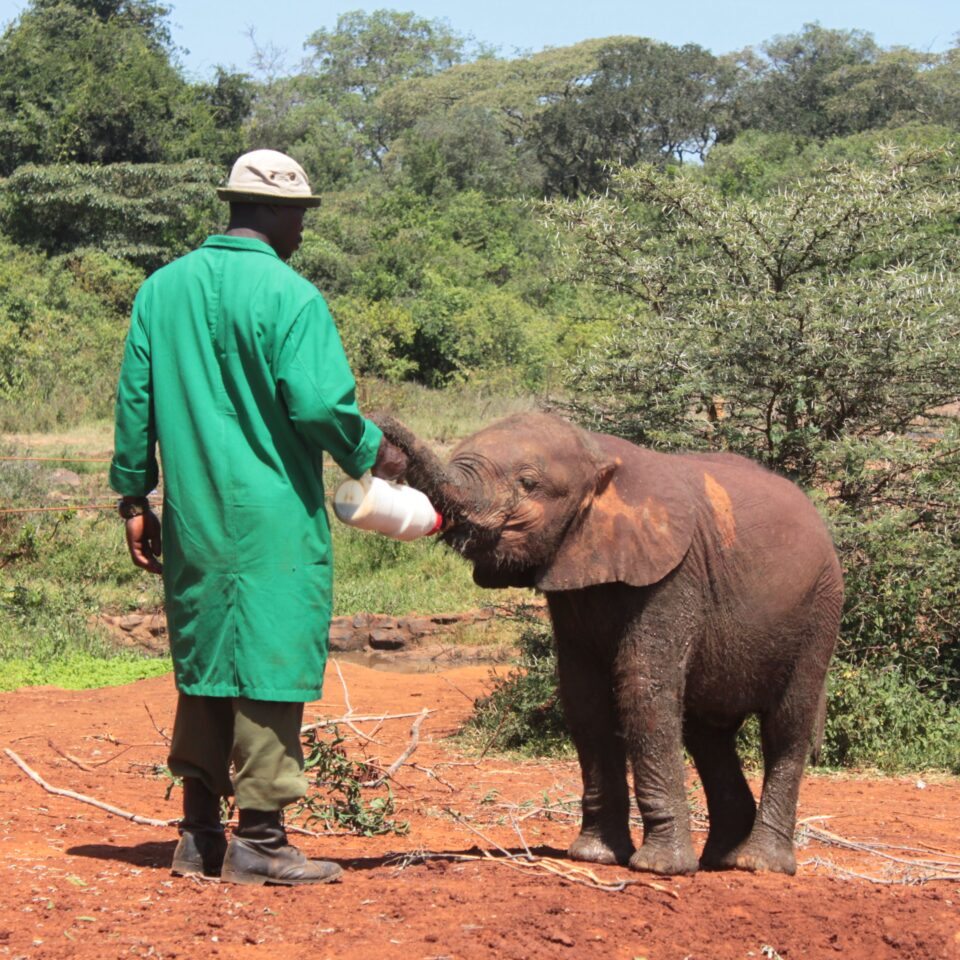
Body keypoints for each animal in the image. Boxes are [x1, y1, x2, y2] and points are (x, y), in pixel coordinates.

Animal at [376, 408, 840, 872]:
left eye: (528, 482)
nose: (380, 426)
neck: (599, 456)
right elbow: (585, 697)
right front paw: (594, 856)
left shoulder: (674, 574)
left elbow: (642, 689)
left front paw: (658, 867)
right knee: (707, 735)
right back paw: (719, 860)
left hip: (820, 607)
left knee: (785, 727)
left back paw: (759, 863)